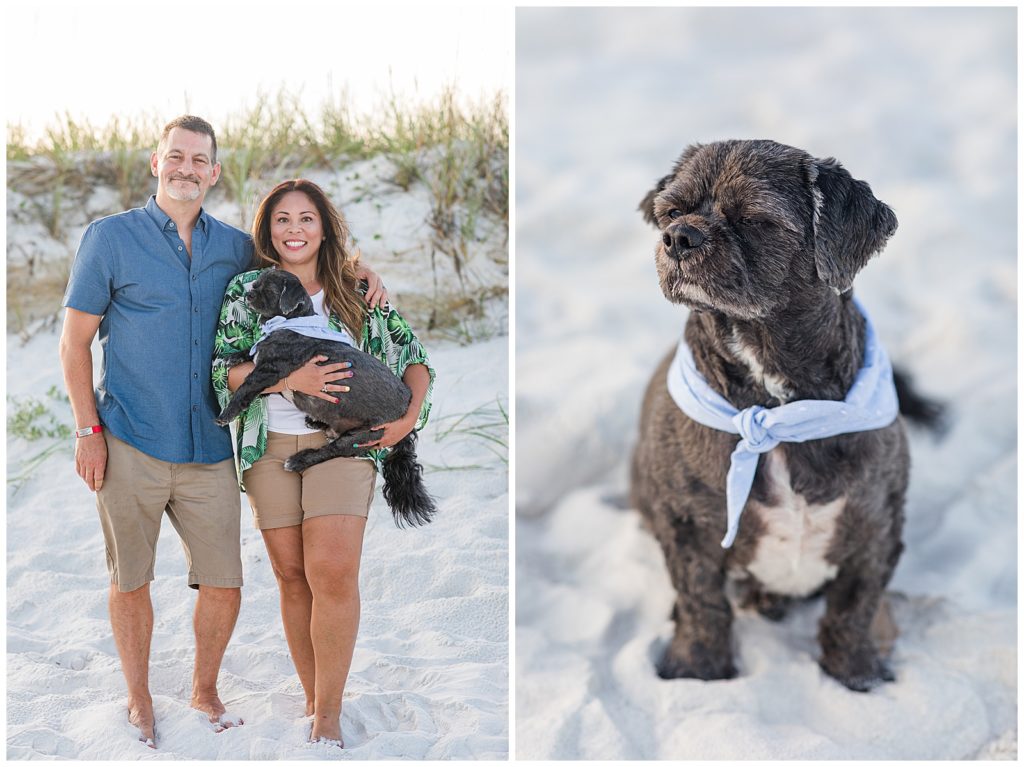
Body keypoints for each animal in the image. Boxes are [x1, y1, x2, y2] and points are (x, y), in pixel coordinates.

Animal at [630, 139, 937, 692]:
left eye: (756, 219)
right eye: (670, 211)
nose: (679, 236)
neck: (775, 408)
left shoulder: (876, 527)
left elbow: (853, 609)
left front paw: (854, 675)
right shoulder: (686, 525)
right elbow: (701, 601)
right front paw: (697, 669)